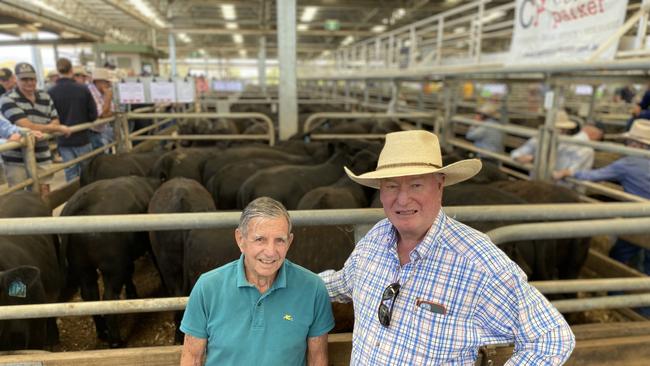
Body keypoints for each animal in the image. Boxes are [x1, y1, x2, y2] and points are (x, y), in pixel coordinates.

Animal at [60, 176, 160, 348]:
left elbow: (129, 272)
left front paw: (131, 292)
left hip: (83, 267)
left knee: (90, 295)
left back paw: (103, 332)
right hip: (111, 267)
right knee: (109, 297)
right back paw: (116, 342)